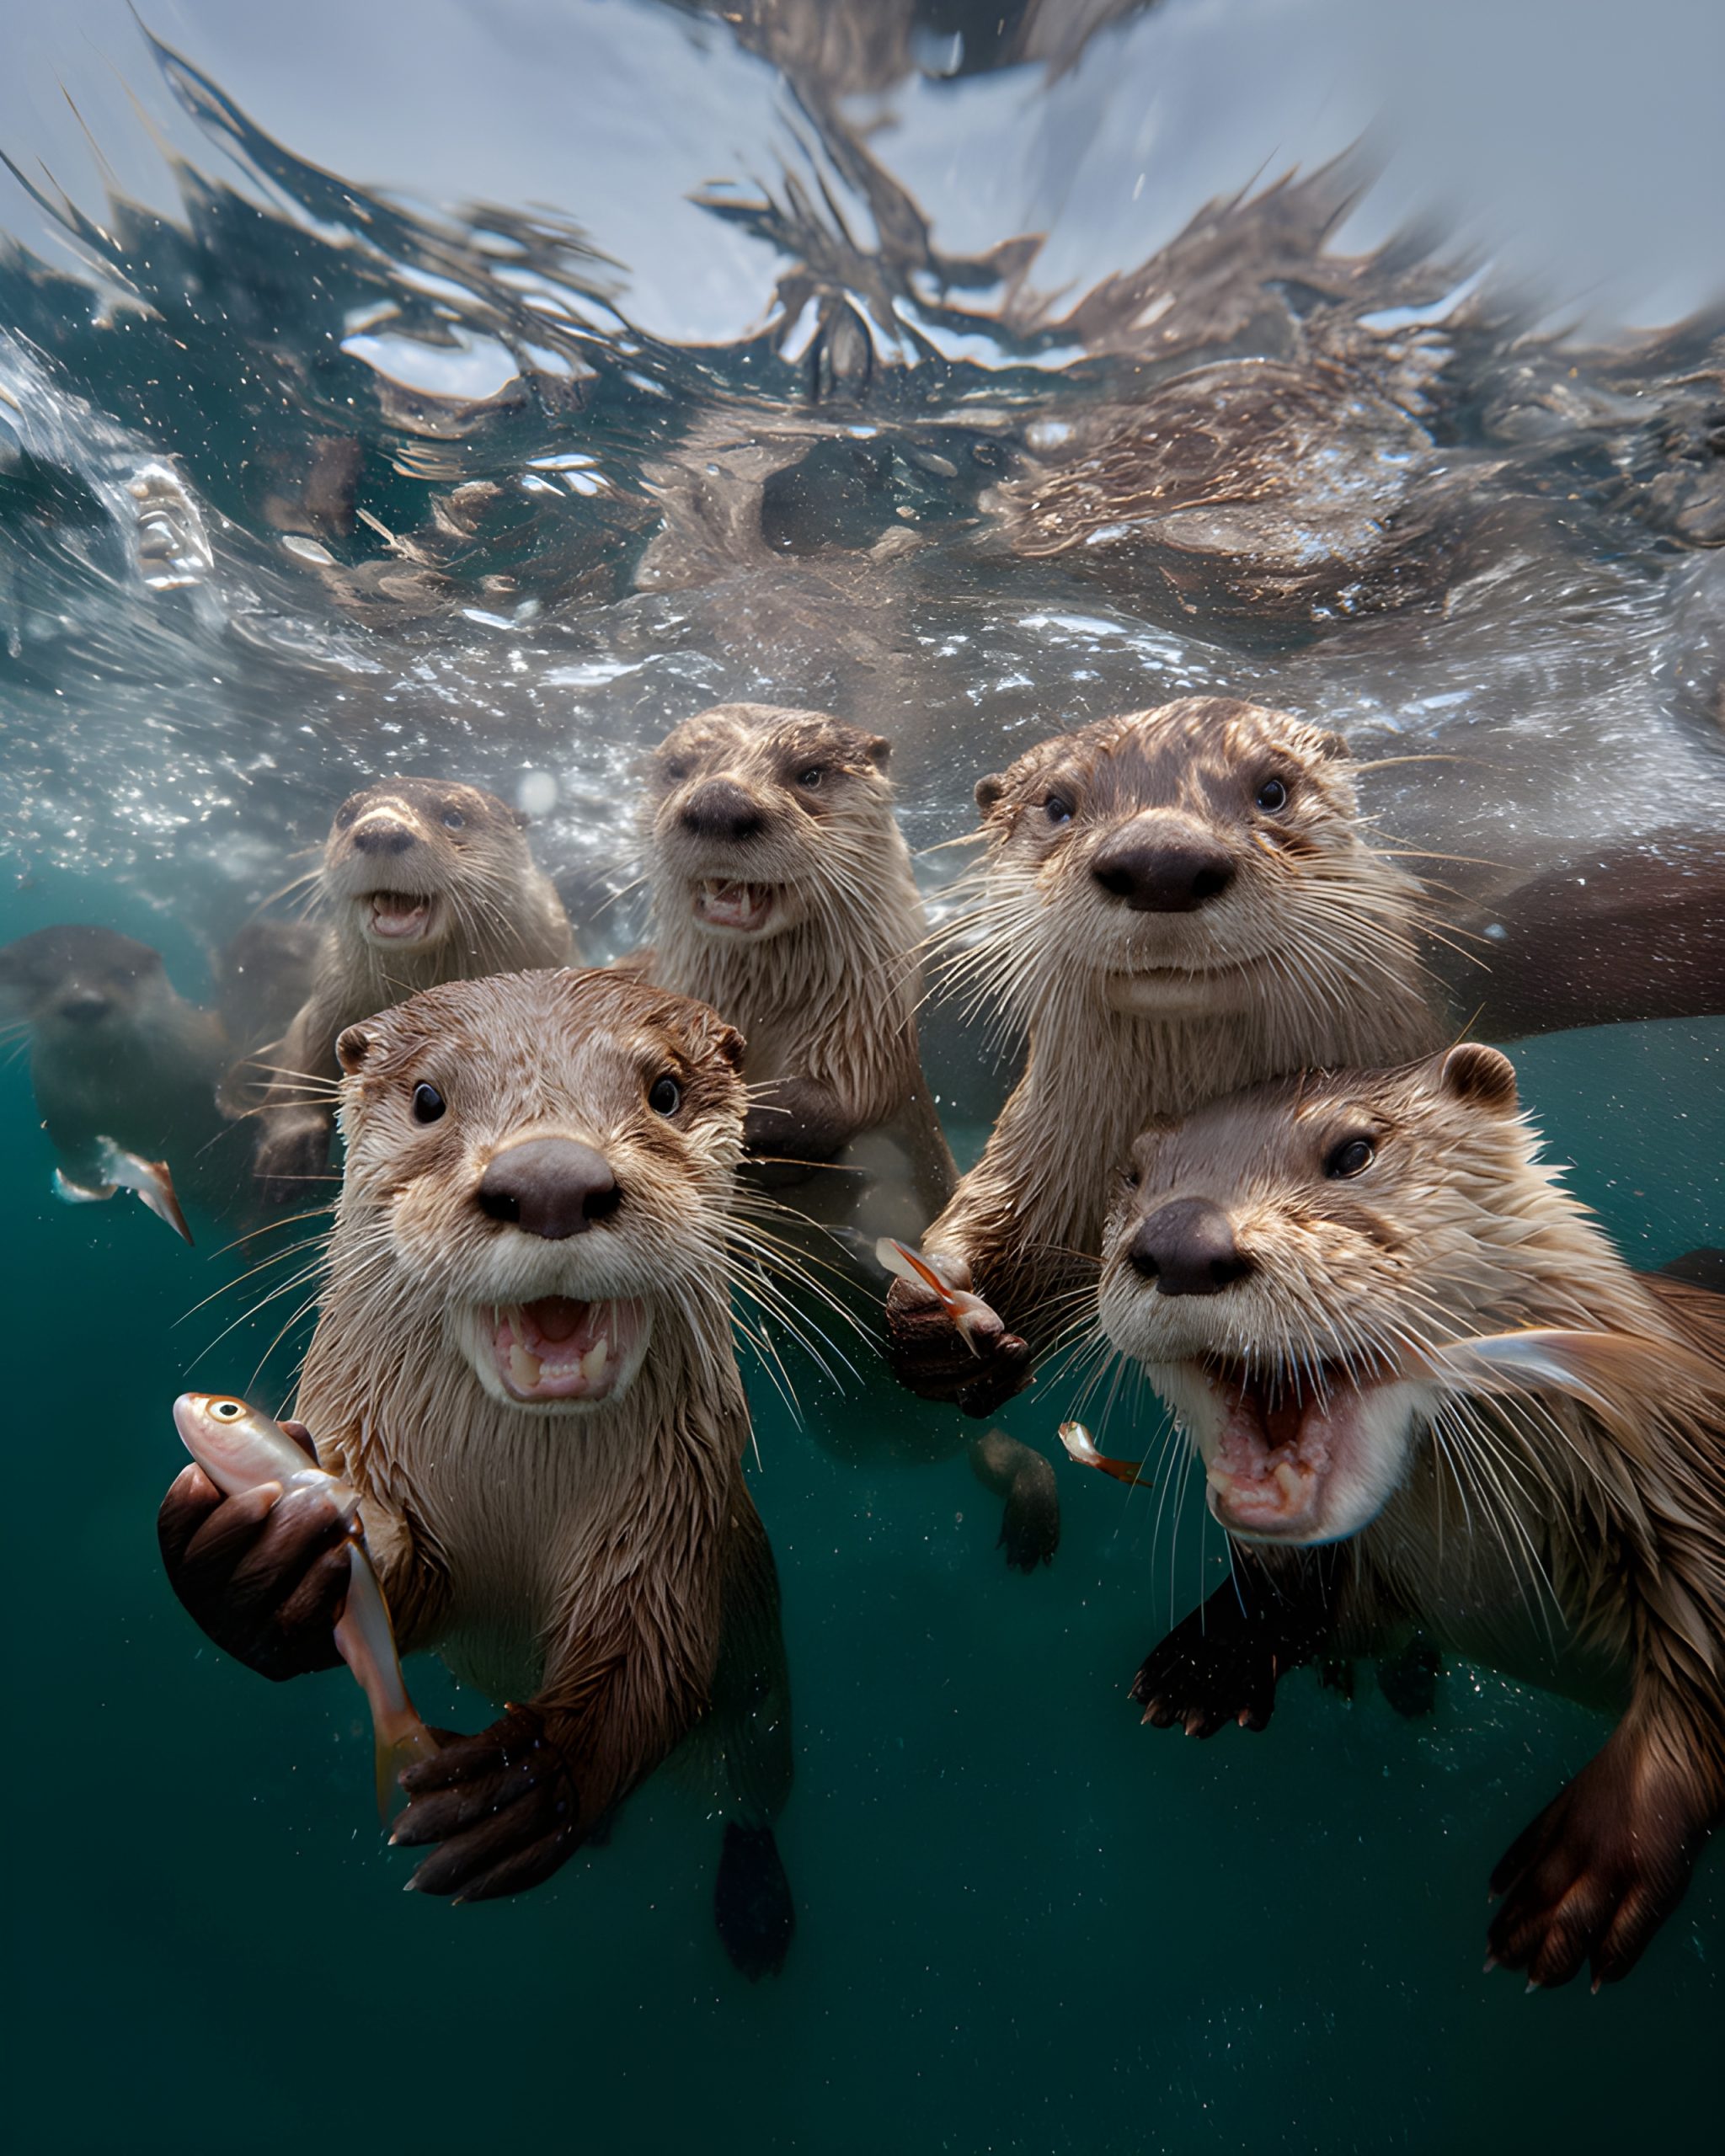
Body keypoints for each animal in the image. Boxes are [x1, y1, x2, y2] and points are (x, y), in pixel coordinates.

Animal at [0, 924, 240, 1216]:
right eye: (39, 979)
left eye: (122, 973)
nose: (85, 1004)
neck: (131, 1102)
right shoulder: (60, 1116)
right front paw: (78, 1189)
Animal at [159, 967, 794, 1975]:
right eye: (429, 1099)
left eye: (663, 1091)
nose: (551, 1181)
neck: (517, 1505)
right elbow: (398, 1591)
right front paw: (254, 1561)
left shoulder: (670, 1525)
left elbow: (652, 1663)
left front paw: (526, 1782)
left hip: (764, 1718)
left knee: (752, 1801)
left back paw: (757, 1910)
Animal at [248, 779, 574, 1204]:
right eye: (346, 816)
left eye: (454, 817)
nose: (381, 830)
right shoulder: (326, 999)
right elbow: (296, 1066)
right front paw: (283, 1158)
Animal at [1097, 1042, 1725, 1990]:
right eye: (1132, 1176)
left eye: (1353, 1152)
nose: (1178, 1241)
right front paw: (1213, 1654)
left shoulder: (1684, 1479)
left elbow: (1702, 1653)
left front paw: (1598, 1862)